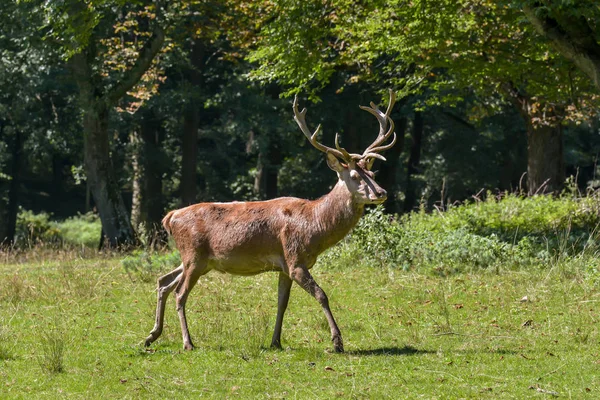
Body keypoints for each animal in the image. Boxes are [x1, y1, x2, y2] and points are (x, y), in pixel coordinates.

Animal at [144, 89, 398, 352]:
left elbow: (282, 302)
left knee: (164, 281)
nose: (382, 193)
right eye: (355, 176)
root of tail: (170, 217)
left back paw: (151, 335)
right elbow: (321, 295)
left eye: (373, 173)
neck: (315, 226)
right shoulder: (295, 258)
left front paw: (275, 341)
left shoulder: (285, 266)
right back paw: (187, 342)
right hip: (194, 256)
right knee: (179, 293)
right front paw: (337, 342)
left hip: (195, 260)